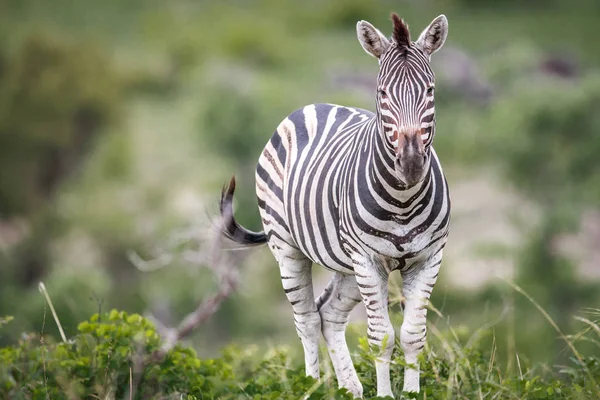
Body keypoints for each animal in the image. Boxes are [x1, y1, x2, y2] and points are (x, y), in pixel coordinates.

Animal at [220, 13, 450, 400]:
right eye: (382, 93)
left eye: (430, 91)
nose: (411, 162)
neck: (403, 201)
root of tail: (311, 106)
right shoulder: (368, 260)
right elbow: (381, 338)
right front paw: (385, 396)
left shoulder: (427, 258)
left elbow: (412, 336)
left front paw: (412, 393)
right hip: (291, 250)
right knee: (308, 321)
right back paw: (311, 386)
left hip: (347, 266)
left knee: (329, 315)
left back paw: (350, 389)